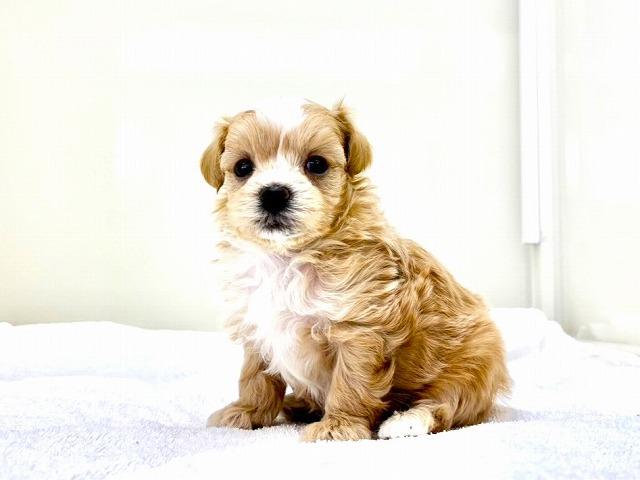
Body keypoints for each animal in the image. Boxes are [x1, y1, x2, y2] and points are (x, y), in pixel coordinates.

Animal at [201, 98, 510, 441]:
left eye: (317, 164)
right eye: (243, 167)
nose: (274, 193)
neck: (288, 258)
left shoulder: (360, 330)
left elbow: (350, 383)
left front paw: (338, 426)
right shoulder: (257, 326)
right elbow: (255, 378)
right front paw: (246, 412)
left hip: (475, 365)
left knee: (449, 403)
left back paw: (407, 421)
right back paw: (298, 403)